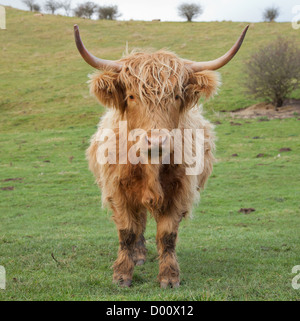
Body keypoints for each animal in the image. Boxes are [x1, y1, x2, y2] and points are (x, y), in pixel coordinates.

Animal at [74, 23, 247, 286]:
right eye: (132, 96)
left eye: (175, 96)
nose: (156, 141)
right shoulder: (118, 189)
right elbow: (127, 231)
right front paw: (122, 275)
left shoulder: (180, 191)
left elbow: (167, 235)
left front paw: (169, 276)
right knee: (139, 222)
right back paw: (139, 256)